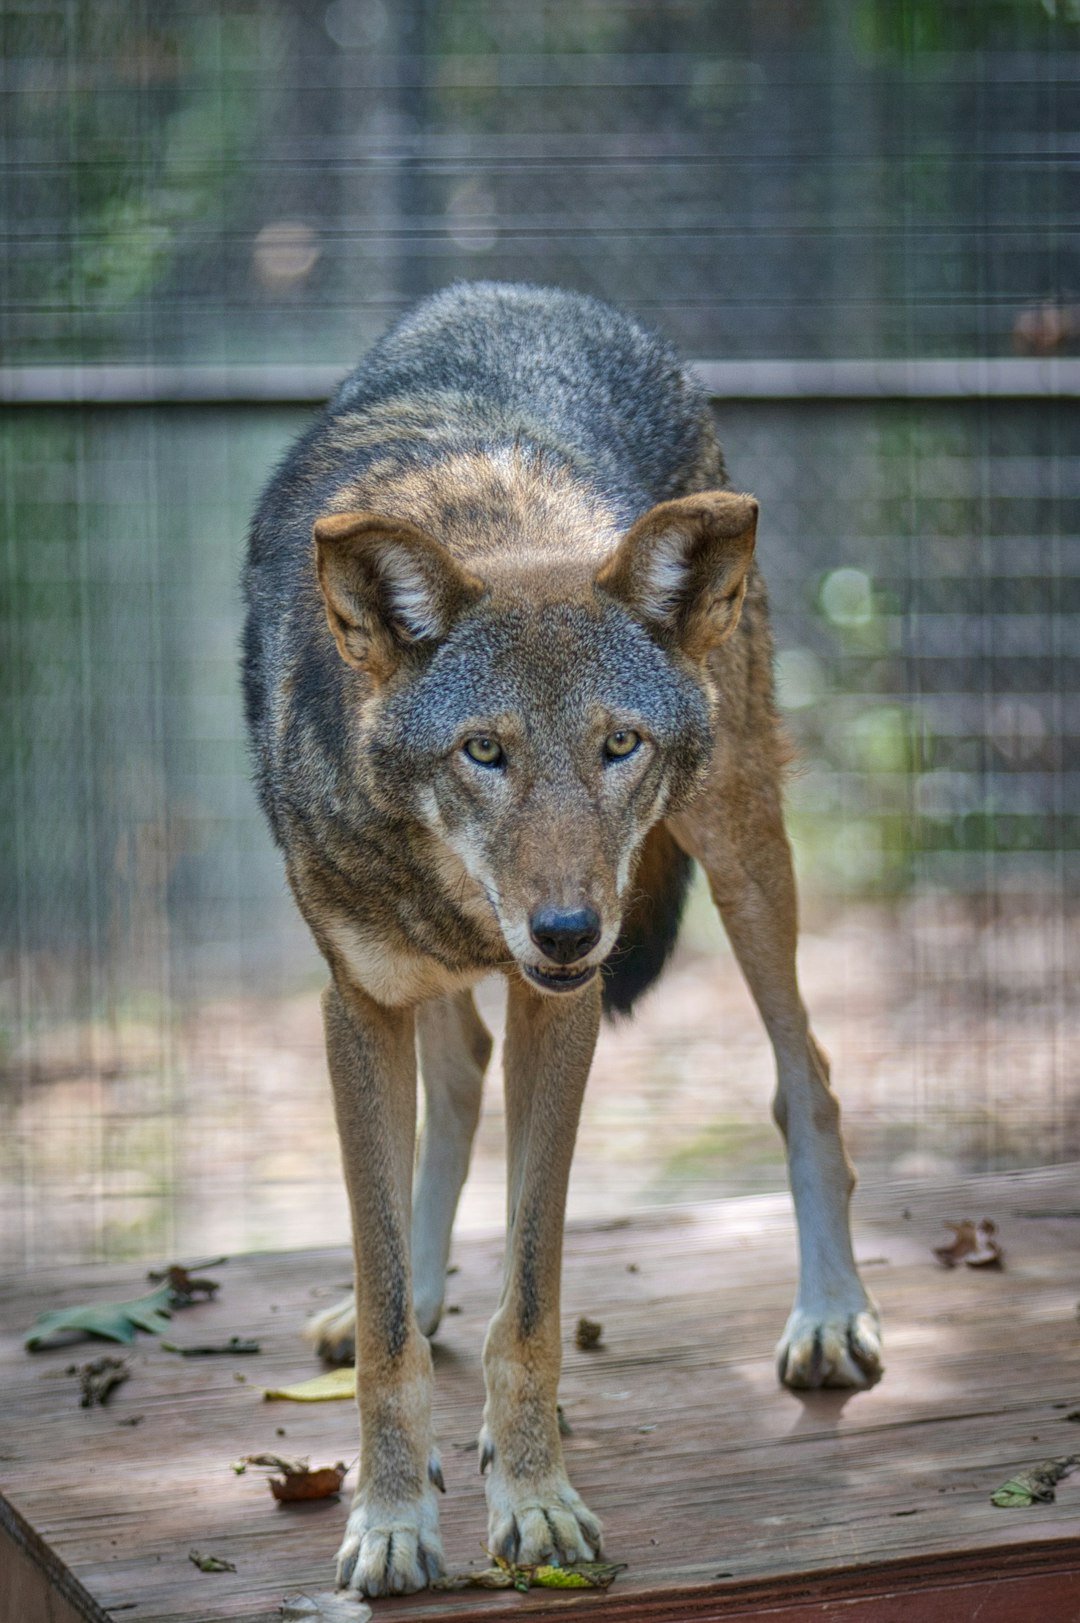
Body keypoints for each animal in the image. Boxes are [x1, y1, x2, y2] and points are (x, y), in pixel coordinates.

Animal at [242, 282, 882, 1598]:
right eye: (484, 751)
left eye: (618, 745)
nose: (572, 926)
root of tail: (528, 292)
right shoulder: (357, 1001)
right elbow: (386, 1314)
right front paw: (392, 1518)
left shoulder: (563, 1004)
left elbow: (532, 1303)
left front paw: (533, 1506)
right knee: (455, 1085)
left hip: (741, 842)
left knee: (807, 1074)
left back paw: (830, 1317)